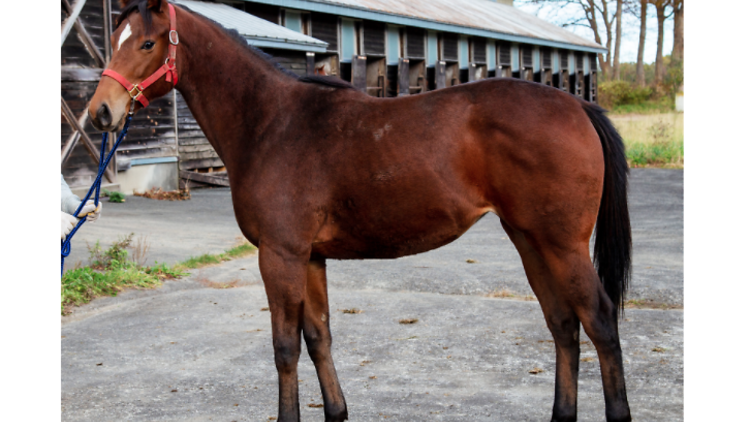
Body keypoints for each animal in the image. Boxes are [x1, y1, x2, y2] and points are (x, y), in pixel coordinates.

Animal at [91, 1, 636, 420]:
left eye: (147, 44)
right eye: (113, 38)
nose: (100, 112)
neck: (270, 123)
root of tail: (577, 106)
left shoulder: (280, 255)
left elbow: (285, 347)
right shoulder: (309, 257)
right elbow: (318, 337)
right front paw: (337, 411)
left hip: (562, 244)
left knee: (600, 322)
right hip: (529, 239)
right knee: (563, 324)